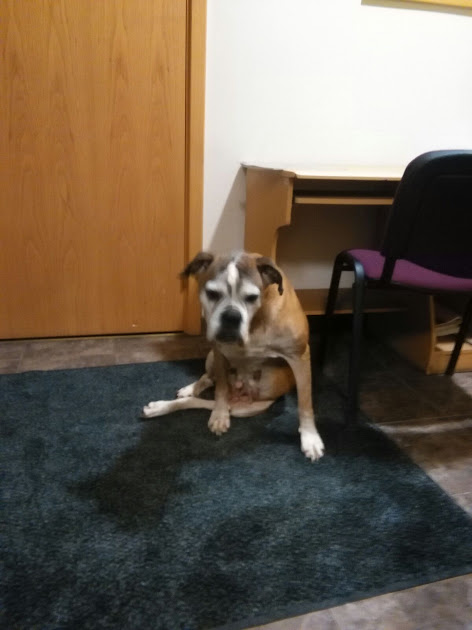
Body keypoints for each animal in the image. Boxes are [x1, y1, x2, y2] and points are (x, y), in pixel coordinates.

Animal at [142, 251, 324, 461]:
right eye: (212, 294)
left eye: (252, 297)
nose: (231, 316)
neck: (256, 322)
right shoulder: (219, 352)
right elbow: (220, 388)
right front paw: (220, 416)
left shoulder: (299, 356)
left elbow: (305, 401)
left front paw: (310, 438)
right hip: (211, 356)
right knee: (208, 383)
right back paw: (176, 399)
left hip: (255, 400)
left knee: (208, 400)